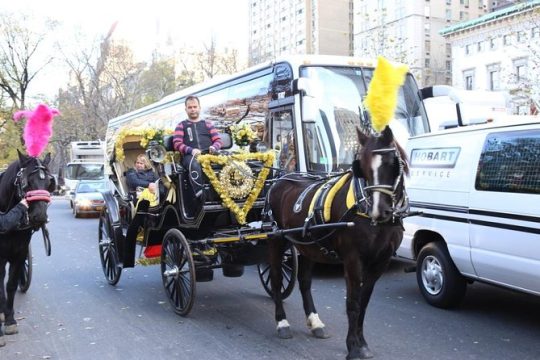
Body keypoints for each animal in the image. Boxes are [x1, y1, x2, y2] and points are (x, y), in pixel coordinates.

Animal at [266, 126, 410, 358]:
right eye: (362, 165)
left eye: (391, 163)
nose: (379, 210)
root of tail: (280, 178)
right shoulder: (353, 260)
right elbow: (353, 303)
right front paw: (352, 346)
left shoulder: (380, 261)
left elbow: (364, 302)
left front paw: (362, 343)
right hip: (276, 241)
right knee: (277, 279)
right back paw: (282, 323)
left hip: (308, 246)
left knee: (304, 282)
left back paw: (315, 322)